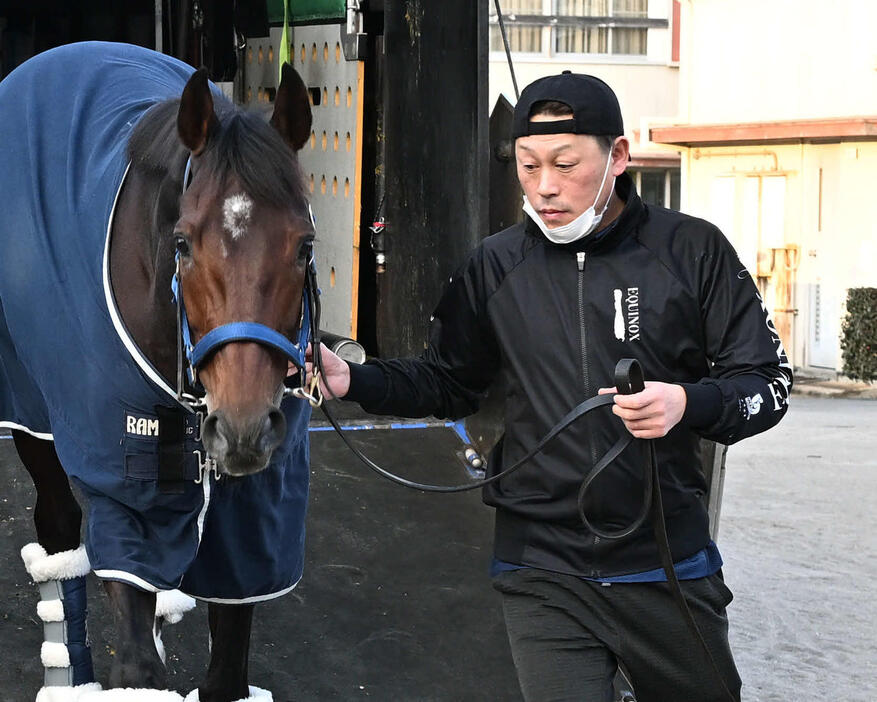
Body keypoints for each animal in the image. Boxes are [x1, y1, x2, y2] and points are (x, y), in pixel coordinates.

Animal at [0, 42, 316, 702]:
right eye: (183, 242)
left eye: (304, 245)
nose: (244, 429)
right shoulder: (127, 497)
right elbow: (138, 669)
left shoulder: (252, 524)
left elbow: (227, 670)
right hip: (28, 407)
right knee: (59, 532)